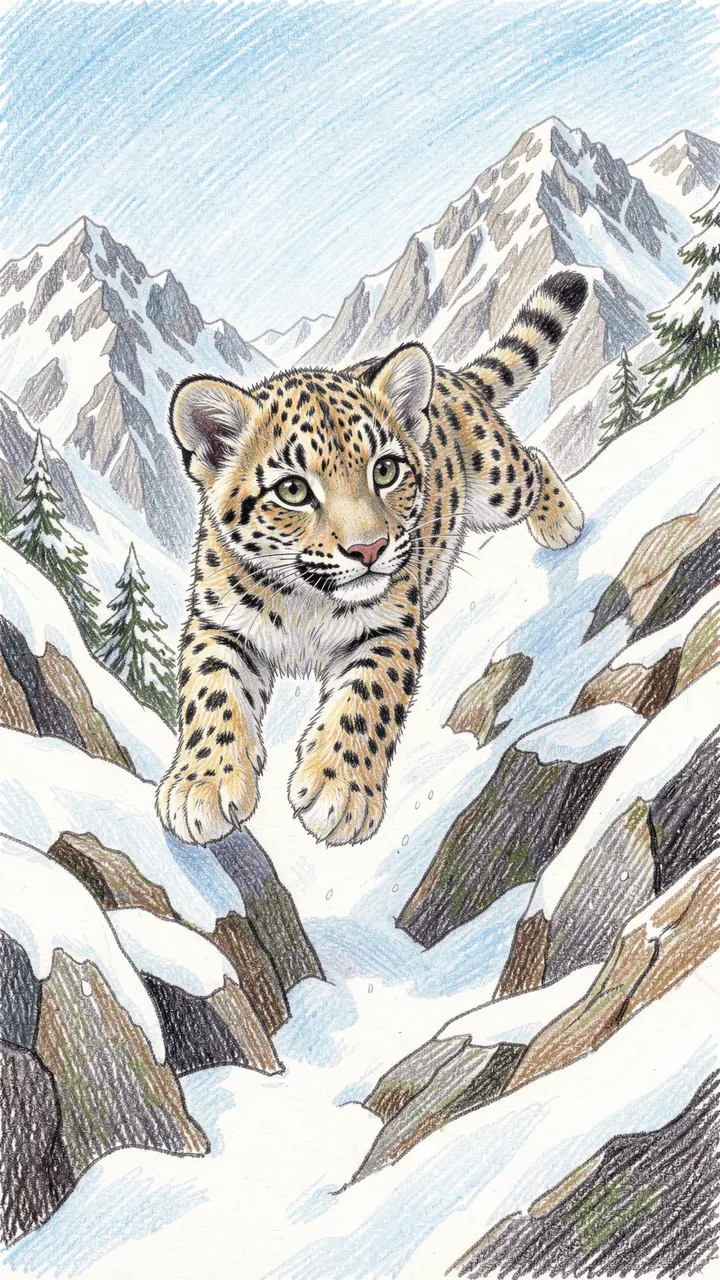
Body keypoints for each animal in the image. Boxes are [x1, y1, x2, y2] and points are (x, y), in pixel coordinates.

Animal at [157, 270, 588, 848]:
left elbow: (366, 700)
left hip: (500, 483)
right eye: (293, 490)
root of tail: (452, 378)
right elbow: (212, 695)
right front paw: (201, 784)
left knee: (535, 461)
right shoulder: (217, 624)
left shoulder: (387, 628)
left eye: (385, 470)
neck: (304, 602)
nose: (369, 549)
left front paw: (339, 791)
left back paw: (562, 521)